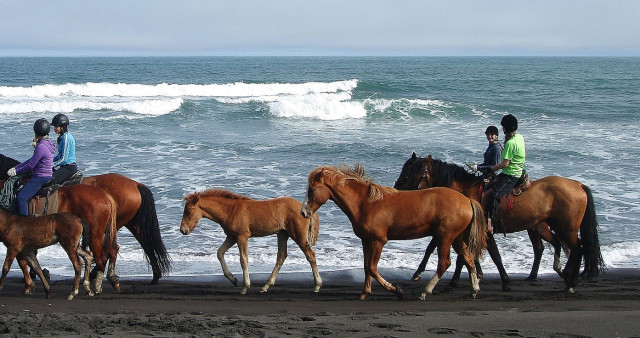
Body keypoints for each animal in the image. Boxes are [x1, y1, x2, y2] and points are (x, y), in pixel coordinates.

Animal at [0, 153, 119, 294]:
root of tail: (104, 195)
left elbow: (21, 260)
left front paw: (29, 284)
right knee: (109, 251)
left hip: (94, 236)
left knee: (101, 258)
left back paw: (95, 287)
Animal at [179, 189, 320, 294]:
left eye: (188, 211)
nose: (183, 230)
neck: (230, 210)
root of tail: (306, 209)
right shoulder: (231, 237)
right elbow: (220, 253)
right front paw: (233, 280)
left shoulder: (242, 236)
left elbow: (243, 260)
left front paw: (245, 287)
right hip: (282, 234)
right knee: (281, 256)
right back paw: (266, 286)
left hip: (298, 235)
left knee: (310, 255)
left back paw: (317, 285)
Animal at [300, 165, 484, 300]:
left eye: (312, 190)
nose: (303, 212)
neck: (365, 203)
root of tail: (468, 200)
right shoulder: (366, 241)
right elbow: (366, 267)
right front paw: (365, 292)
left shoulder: (378, 241)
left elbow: (372, 268)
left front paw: (396, 290)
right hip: (456, 238)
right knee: (468, 258)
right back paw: (474, 290)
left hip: (445, 237)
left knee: (444, 263)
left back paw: (424, 292)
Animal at [392, 154, 604, 294]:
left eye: (410, 171)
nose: (396, 188)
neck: (465, 191)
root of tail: (578, 185)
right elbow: (476, 255)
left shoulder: (480, 231)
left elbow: (482, 256)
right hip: (547, 227)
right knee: (555, 247)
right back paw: (559, 274)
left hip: (564, 228)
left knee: (576, 249)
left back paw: (570, 281)